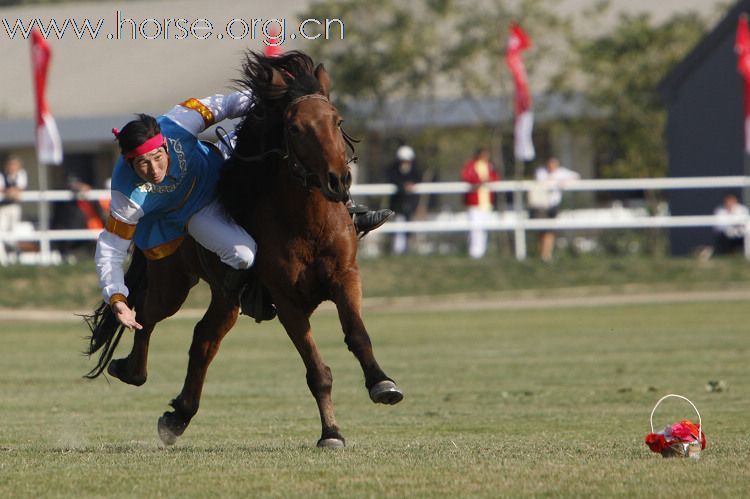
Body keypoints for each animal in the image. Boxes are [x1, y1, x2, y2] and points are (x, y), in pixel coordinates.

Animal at [85, 51, 402, 450]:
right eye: (294, 128)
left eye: (337, 120)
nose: (338, 180)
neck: (307, 223)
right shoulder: (286, 299)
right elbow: (317, 371)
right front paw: (331, 432)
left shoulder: (345, 277)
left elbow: (358, 335)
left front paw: (381, 382)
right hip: (172, 280)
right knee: (146, 313)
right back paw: (131, 369)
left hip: (225, 295)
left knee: (203, 339)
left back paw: (179, 415)